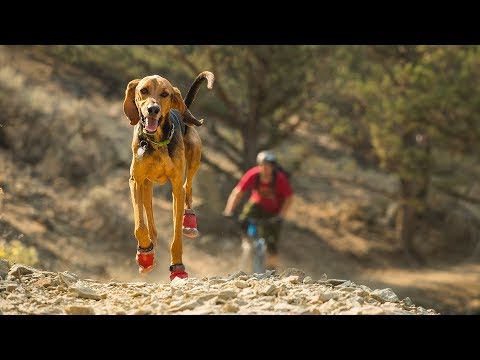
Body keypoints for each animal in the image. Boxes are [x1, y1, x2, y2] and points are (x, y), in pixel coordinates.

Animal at [123, 70, 215, 278]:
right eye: (143, 90)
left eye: (165, 94)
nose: (153, 109)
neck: (156, 142)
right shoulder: (135, 181)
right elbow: (140, 226)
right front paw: (145, 254)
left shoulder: (175, 184)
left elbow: (176, 236)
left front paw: (178, 267)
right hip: (146, 184)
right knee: (149, 213)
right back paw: (150, 245)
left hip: (194, 158)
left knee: (188, 187)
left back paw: (189, 220)